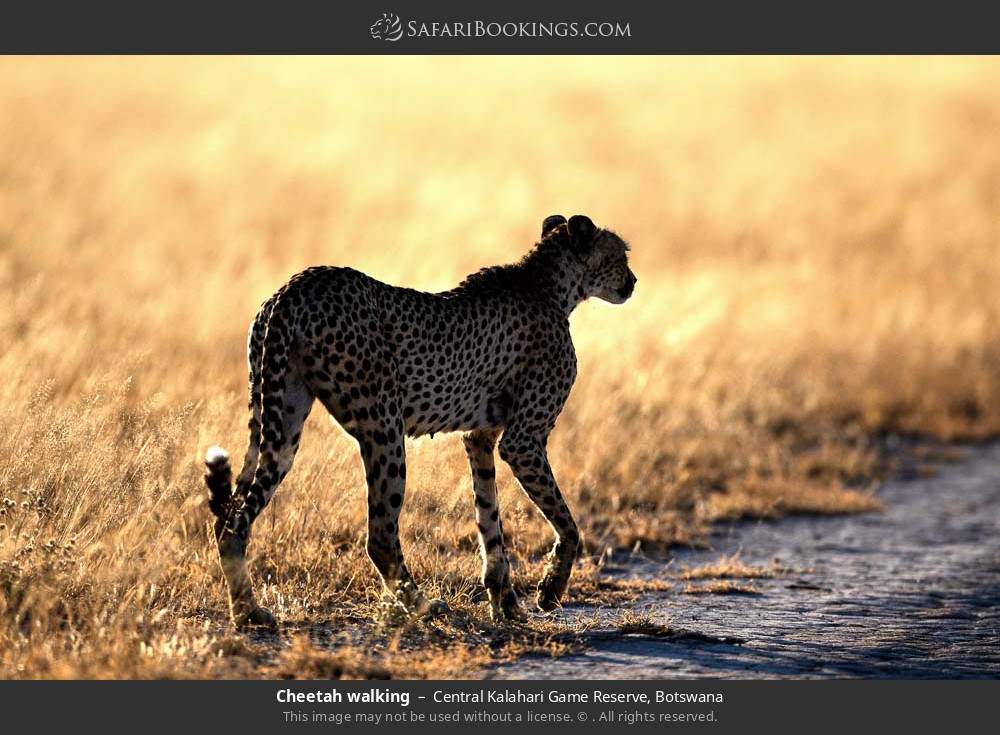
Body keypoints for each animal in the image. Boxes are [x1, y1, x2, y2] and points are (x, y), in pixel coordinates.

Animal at [204, 214, 636, 632]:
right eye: (620, 256)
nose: (632, 282)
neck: (549, 284)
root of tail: (294, 287)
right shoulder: (523, 441)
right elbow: (568, 524)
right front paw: (549, 590)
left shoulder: (480, 437)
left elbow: (490, 518)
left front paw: (506, 603)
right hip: (384, 427)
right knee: (379, 536)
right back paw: (425, 605)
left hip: (281, 422)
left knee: (231, 523)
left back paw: (247, 612)